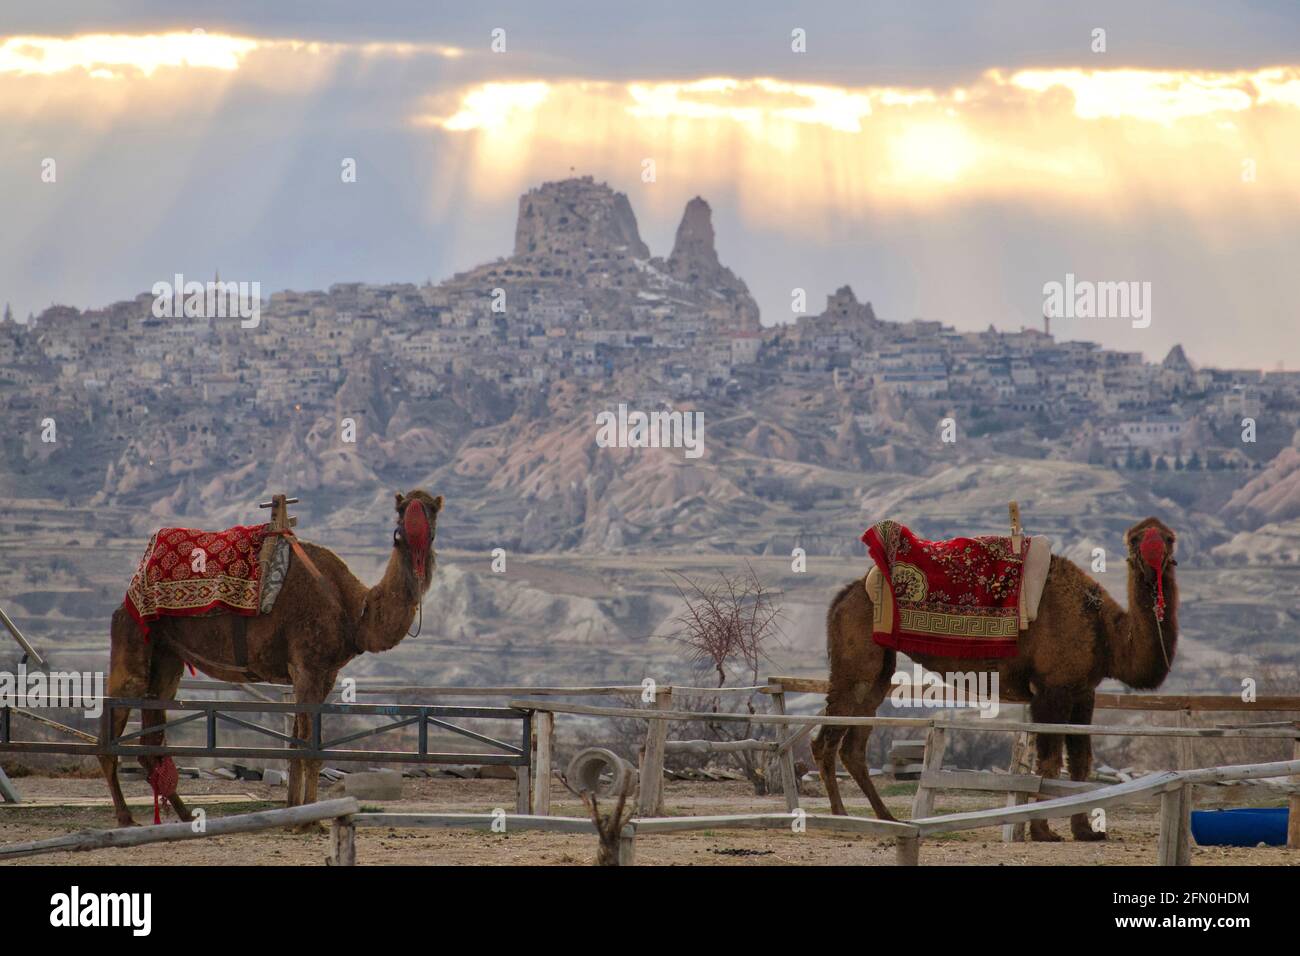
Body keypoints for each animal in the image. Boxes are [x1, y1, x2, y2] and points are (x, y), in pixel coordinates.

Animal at [97, 489, 441, 827]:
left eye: (432, 512)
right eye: (401, 513)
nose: (416, 535)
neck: (354, 609)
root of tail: (128, 595)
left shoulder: (323, 674)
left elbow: (298, 743)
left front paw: (296, 812)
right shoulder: (307, 667)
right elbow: (309, 748)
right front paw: (308, 820)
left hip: (167, 655)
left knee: (152, 737)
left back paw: (183, 815)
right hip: (133, 637)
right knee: (111, 732)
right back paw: (126, 817)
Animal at [816, 520, 1185, 842]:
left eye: (1169, 538)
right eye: (1135, 539)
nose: (1154, 557)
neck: (1104, 631)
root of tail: (846, 592)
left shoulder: (1083, 691)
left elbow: (1080, 761)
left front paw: (1086, 831)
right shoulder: (1050, 690)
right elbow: (1048, 763)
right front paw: (1043, 831)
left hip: (879, 666)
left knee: (854, 741)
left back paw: (885, 817)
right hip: (857, 653)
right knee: (827, 737)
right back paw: (840, 817)